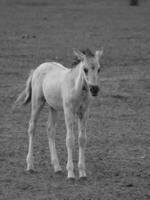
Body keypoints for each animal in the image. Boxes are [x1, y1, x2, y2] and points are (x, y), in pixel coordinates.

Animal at [15, 48, 103, 180]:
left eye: (99, 69)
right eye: (85, 69)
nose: (94, 89)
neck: (76, 88)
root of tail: (37, 69)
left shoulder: (84, 112)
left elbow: (82, 139)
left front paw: (82, 173)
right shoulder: (68, 111)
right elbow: (70, 139)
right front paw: (71, 174)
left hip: (53, 107)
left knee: (50, 130)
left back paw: (57, 167)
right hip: (37, 103)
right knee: (32, 128)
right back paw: (30, 165)